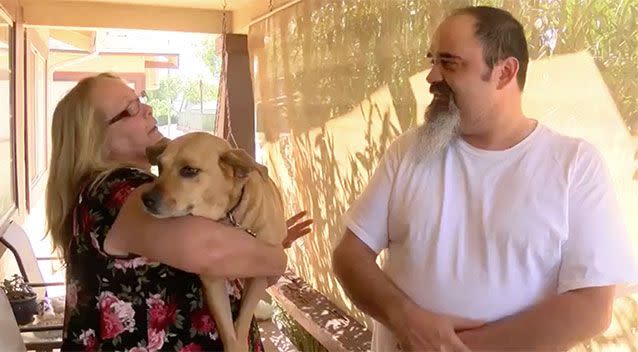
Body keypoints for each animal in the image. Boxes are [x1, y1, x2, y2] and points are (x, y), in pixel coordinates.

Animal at [145, 132, 288, 352]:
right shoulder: (213, 282)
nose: (145, 199)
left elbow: (242, 322)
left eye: (189, 170)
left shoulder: (259, 277)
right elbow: (229, 331)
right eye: (160, 166)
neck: (229, 219)